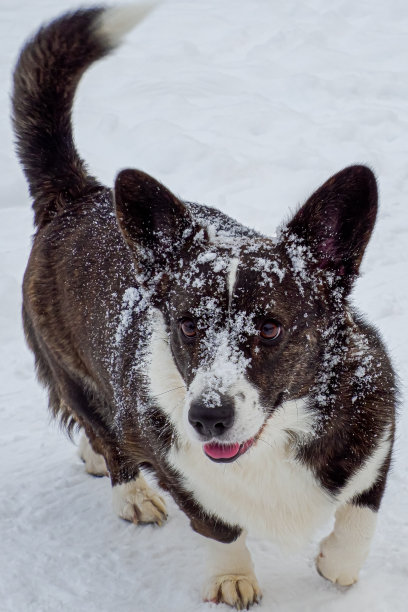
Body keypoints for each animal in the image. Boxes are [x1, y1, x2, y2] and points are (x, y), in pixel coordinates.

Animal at [12, 3, 396, 608]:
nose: (207, 417)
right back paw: (129, 490)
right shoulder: (177, 465)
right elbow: (218, 525)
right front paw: (232, 579)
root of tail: (77, 195)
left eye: (271, 327)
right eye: (189, 324)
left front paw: (335, 566)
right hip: (71, 367)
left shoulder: (377, 440)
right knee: (102, 428)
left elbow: (360, 515)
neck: (270, 445)